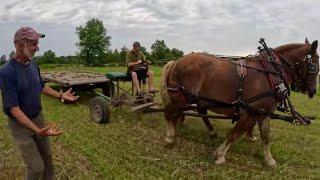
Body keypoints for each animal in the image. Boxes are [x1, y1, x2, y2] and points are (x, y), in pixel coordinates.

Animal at [161, 39, 318, 166]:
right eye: (315, 66)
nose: (313, 91)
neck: (272, 73)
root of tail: (176, 61)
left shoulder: (263, 113)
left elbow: (266, 136)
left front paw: (269, 160)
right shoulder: (250, 112)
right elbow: (235, 134)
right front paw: (220, 155)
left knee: (184, 112)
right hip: (181, 97)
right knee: (170, 113)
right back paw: (170, 137)